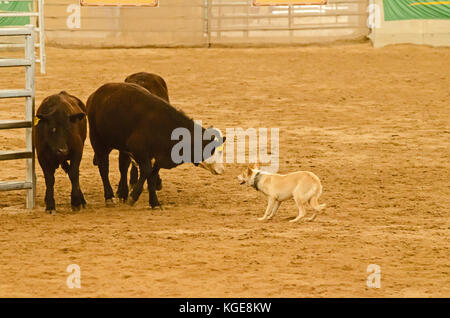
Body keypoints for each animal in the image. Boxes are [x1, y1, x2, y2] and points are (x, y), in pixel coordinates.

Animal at [86, 82, 225, 209]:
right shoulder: (139, 151)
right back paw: (109, 197)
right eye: (213, 150)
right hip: (97, 140)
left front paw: (154, 203)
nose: (222, 170)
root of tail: (94, 95)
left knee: (123, 167)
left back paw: (123, 193)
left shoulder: (158, 158)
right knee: (104, 167)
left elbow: (152, 177)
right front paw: (133, 196)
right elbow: (146, 171)